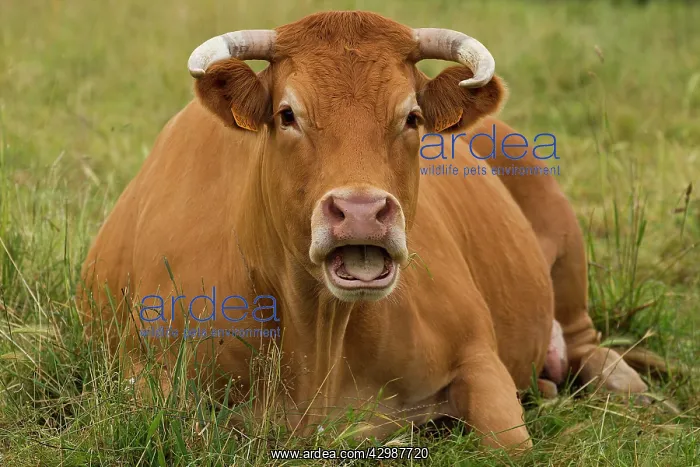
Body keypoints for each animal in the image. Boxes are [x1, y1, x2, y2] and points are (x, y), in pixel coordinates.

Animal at [78, 11, 648, 452]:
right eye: (287, 114)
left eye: (412, 116)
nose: (360, 210)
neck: (317, 340)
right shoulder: (144, 374)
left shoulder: (478, 356)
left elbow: (508, 443)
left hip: (565, 251)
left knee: (583, 339)